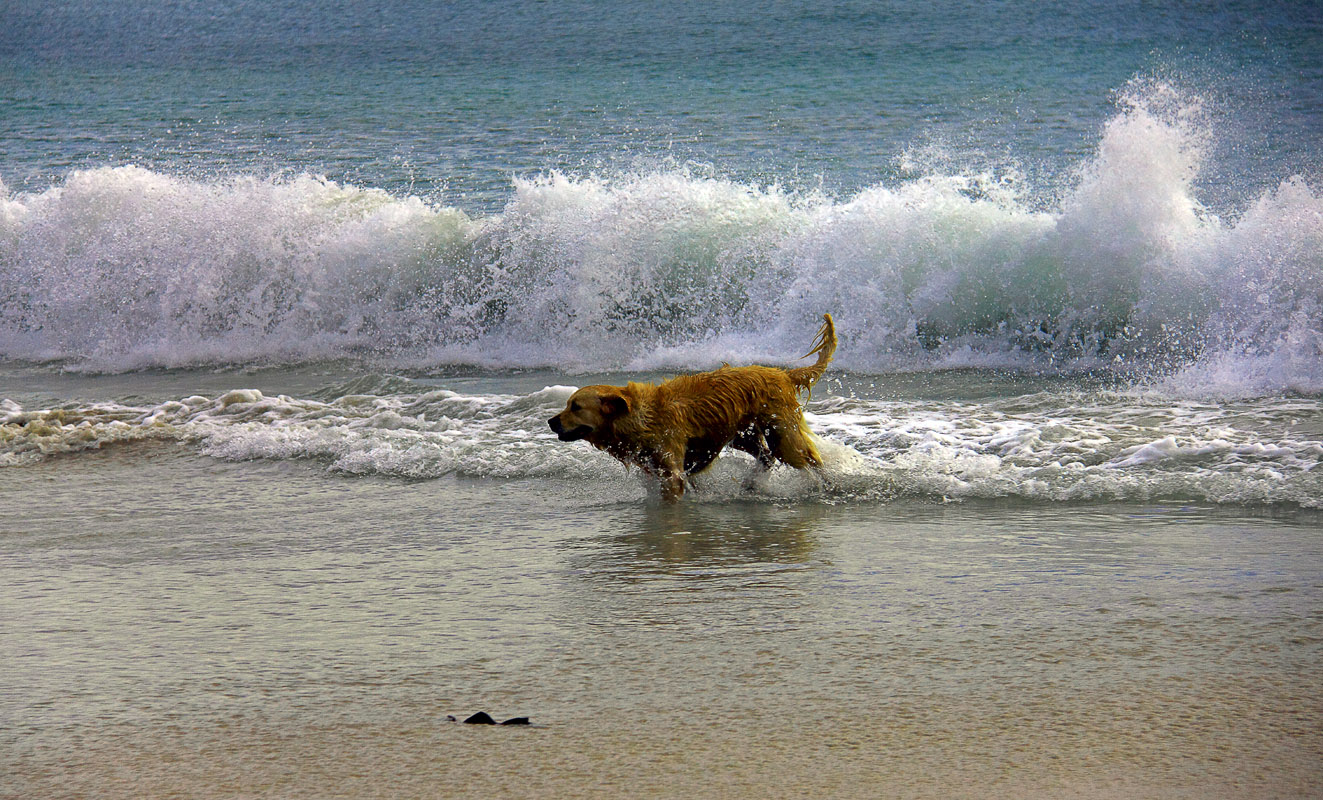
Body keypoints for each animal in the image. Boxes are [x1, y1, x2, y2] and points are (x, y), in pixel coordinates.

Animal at [547, 312, 836, 499]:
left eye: (576, 407)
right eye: (567, 405)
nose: (551, 421)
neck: (638, 416)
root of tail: (782, 373)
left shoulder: (671, 466)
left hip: (781, 432)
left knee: (807, 458)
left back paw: (829, 484)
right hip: (738, 433)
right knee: (766, 455)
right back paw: (752, 485)